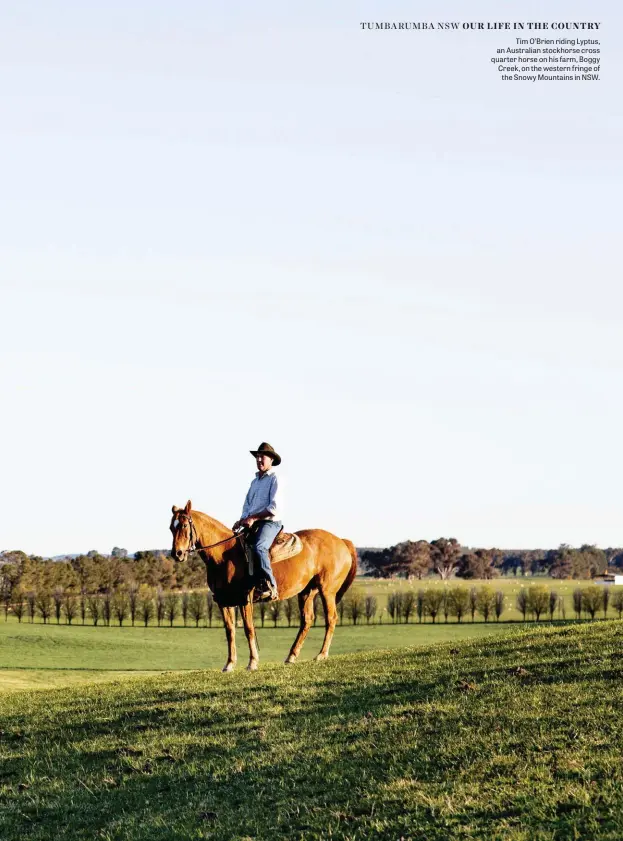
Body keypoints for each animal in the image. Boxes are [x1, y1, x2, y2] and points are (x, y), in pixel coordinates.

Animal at [171, 502, 358, 672]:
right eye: (171, 527)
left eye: (184, 525)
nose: (177, 554)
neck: (224, 555)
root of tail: (342, 542)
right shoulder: (224, 601)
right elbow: (230, 631)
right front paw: (229, 664)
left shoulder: (245, 599)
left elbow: (249, 629)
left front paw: (252, 662)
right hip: (307, 592)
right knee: (307, 620)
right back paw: (291, 656)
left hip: (327, 591)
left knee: (331, 619)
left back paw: (322, 654)